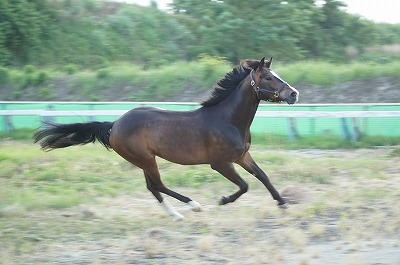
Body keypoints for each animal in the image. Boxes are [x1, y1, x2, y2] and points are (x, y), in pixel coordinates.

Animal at [33, 56, 296, 220]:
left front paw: (283, 203)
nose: (293, 93)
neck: (228, 119)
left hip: (143, 160)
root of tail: (115, 124)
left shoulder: (242, 156)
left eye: (276, 74)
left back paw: (176, 215)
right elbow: (244, 185)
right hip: (145, 159)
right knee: (158, 185)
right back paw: (193, 206)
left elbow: (262, 176)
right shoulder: (220, 163)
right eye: (268, 77)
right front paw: (222, 200)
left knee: (152, 187)